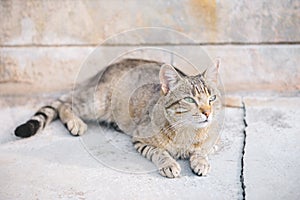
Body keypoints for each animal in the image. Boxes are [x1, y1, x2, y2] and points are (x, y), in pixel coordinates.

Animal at [15, 58, 221, 178]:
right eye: (189, 100)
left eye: (212, 98)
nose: (207, 113)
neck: (187, 132)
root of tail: (103, 70)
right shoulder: (140, 139)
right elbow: (159, 152)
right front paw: (169, 163)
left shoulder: (215, 138)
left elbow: (203, 149)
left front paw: (200, 160)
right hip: (96, 103)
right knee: (65, 105)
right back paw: (76, 122)